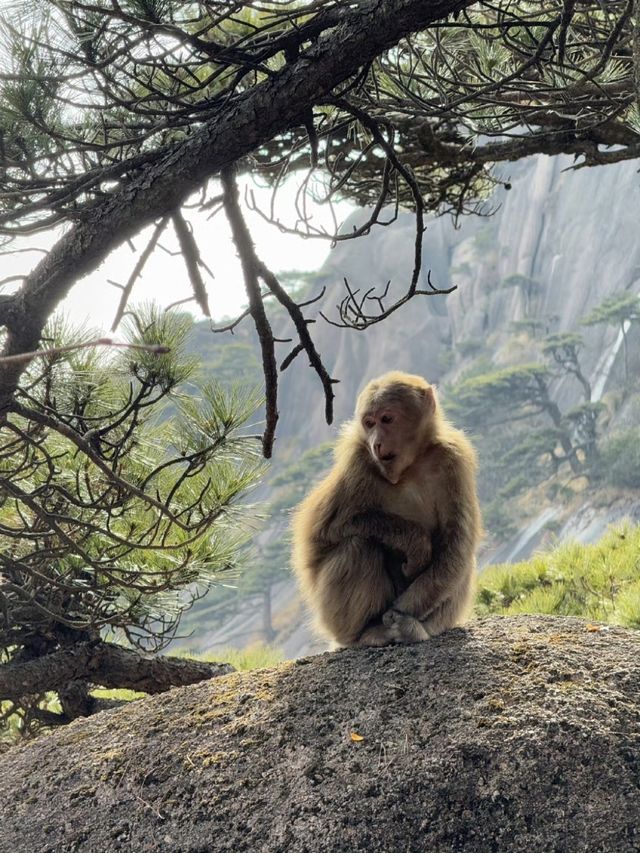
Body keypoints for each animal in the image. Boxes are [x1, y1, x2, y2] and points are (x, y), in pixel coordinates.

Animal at [290, 372, 480, 644]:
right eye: (369, 423)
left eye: (387, 419)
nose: (376, 443)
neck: (409, 468)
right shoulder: (357, 461)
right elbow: (325, 531)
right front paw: (416, 543)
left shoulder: (453, 458)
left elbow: (456, 547)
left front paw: (400, 616)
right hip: (332, 617)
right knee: (360, 545)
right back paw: (368, 633)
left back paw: (415, 629)